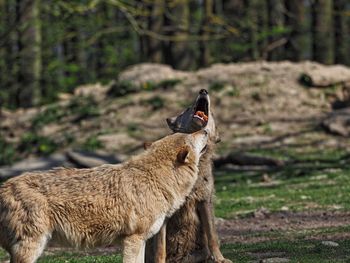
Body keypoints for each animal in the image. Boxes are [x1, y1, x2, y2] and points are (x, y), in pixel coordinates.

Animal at [0, 130, 208, 263]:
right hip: (31, 247)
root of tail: (5, 186)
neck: (154, 178)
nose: (205, 130)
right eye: (192, 136)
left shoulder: (139, 241)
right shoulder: (133, 239)